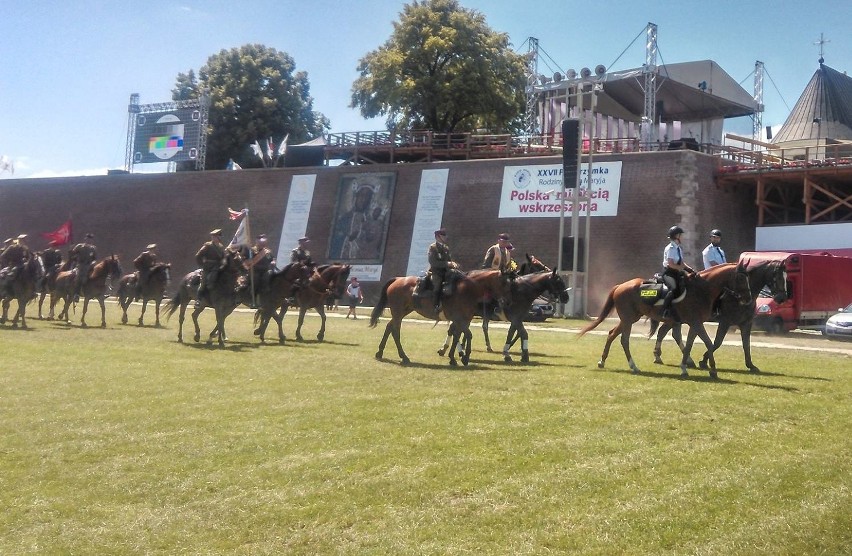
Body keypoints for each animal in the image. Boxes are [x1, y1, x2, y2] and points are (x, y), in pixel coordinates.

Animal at [368, 270, 512, 368]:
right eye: (505, 282)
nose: (508, 301)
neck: (467, 291)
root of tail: (398, 279)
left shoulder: (462, 320)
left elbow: (457, 336)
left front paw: (453, 357)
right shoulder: (460, 319)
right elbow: (467, 335)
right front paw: (464, 357)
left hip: (402, 312)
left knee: (389, 327)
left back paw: (380, 352)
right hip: (398, 313)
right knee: (395, 332)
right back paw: (403, 356)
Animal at [580, 260, 752, 378]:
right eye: (740, 278)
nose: (748, 299)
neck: (702, 290)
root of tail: (620, 286)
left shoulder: (694, 323)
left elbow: (689, 345)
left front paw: (684, 367)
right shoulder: (696, 323)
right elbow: (708, 343)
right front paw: (713, 370)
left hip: (629, 318)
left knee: (612, 334)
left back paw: (602, 361)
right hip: (628, 319)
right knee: (624, 340)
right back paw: (633, 366)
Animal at [652, 258, 784, 374]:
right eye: (777, 277)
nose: (781, 298)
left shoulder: (746, 323)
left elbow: (746, 344)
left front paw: (751, 365)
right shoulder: (725, 321)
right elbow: (717, 342)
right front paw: (704, 361)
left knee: (666, 332)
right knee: (668, 333)